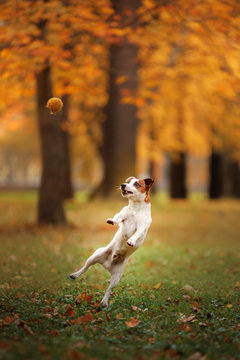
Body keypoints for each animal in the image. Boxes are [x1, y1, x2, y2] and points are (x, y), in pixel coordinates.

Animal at [69, 177, 154, 306]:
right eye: (127, 181)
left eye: (137, 184)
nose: (122, 184)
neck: (135, 208)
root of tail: (107, 265)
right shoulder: (123, 215)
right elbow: (118, 217)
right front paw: (112, 221)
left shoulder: (142, 226)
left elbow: (137, 233)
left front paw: (131, 240)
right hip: (95, 256)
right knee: (86, 267)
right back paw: (75, 274)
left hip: (116, 278)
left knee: (109, 289)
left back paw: (104, 302)